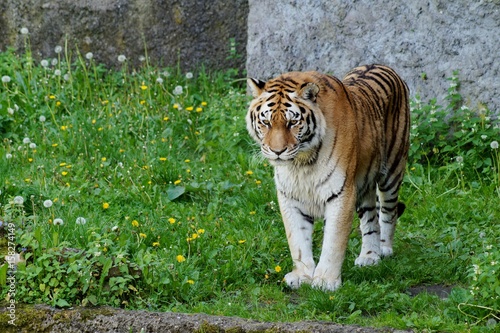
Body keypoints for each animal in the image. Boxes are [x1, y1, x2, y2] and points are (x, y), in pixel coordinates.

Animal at [246, 64, 410, 290]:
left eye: (292, 122)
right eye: (266, 122)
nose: (277, 151)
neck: (301, 163)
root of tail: (382, 66)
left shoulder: (341, 192)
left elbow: (333, 241)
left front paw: (325, 281)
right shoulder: (289, 195)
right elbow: (297, 239)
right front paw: (302, 276)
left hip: (392, 172)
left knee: (388, 212)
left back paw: (384, 249)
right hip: (364, 185)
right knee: (370, 219)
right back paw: (369, 256)